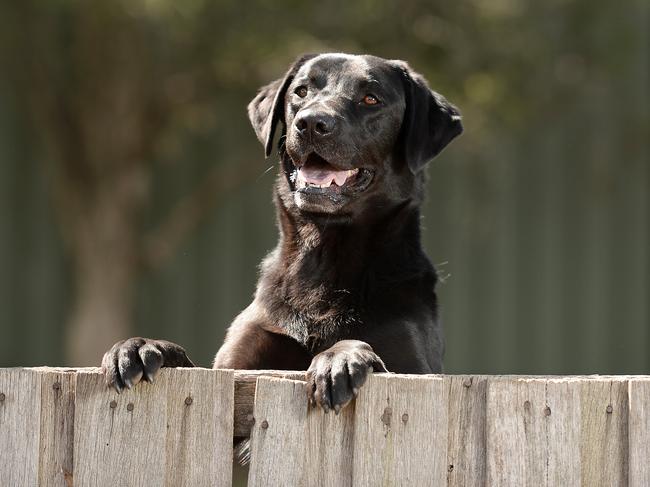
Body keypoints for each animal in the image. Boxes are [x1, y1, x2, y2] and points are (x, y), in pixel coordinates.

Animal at [100, 52, 460, 412]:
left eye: (371, 98)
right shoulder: (234, 367)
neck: (321, 252)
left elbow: (362, 346)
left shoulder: (416, 370)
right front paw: (142, 345)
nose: (311, 122)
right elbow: (194, 363)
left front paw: (338, 359)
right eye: (301, 91)